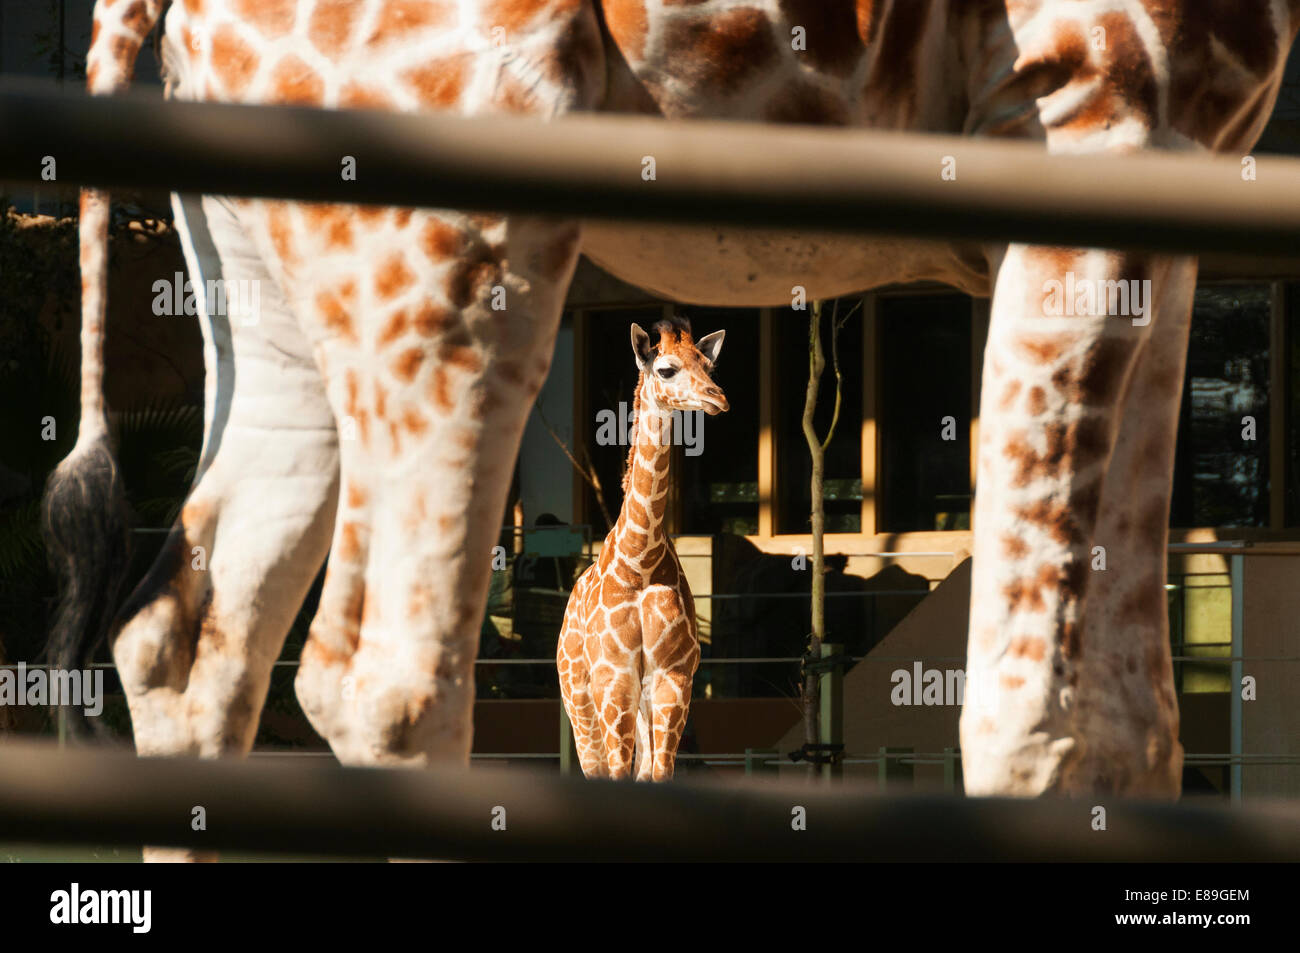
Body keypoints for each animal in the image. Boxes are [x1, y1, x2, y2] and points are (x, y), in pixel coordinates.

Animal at [558, 316, 727, 781]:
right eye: (666, 369)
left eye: (709, 365)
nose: (718, 398)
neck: (641, 560)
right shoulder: (614, 679)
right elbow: (616, 774)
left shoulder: (673, 678)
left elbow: (658, 773)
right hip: (580, 701)